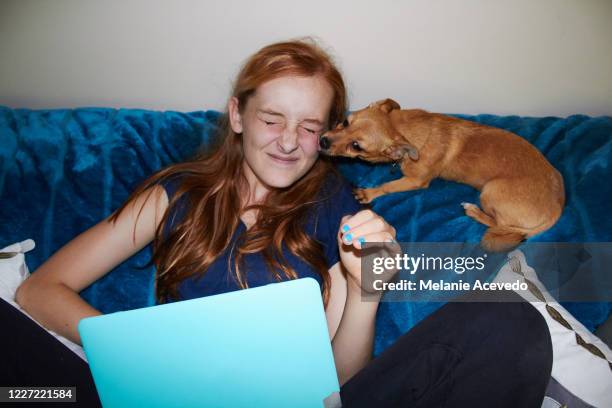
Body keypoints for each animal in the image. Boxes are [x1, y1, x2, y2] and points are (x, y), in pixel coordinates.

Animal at [320, 99, 564, 252]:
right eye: (345, 122)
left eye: (356, 146)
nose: (322, 141)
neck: (403, 129)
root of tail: (557, 208)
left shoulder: (416, 181)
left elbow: (388, 186)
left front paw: (369, 193)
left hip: (490, 190)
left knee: (497, 224)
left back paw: (473, 210)